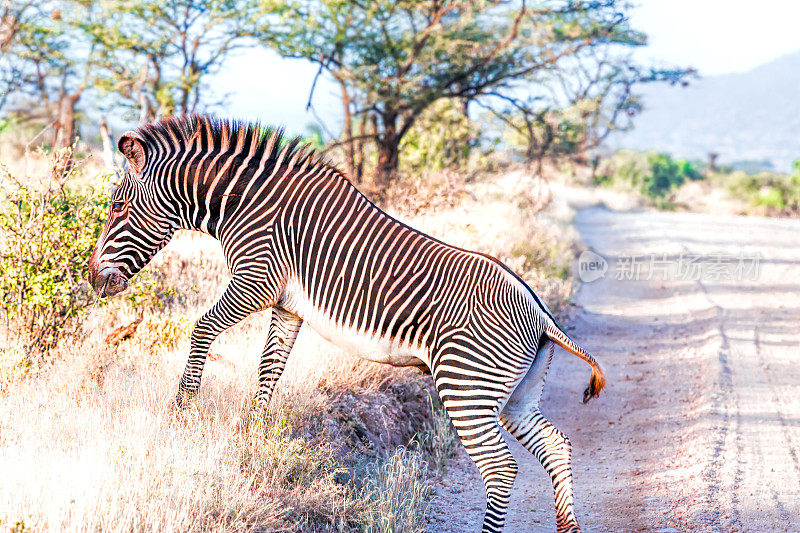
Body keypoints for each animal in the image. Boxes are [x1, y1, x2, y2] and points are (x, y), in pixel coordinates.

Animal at [87, 116, 604, 532]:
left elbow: (202, 328)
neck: (244, 204)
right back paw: (568, 527)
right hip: (516, 393)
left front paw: (180, 414)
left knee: (501, 469)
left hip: (466, 386)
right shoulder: (287, 305)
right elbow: (269, 370)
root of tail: (541, 312)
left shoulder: (256, 280)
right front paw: (252, 437)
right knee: (556, 445)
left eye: (116, 208)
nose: (93, 279)